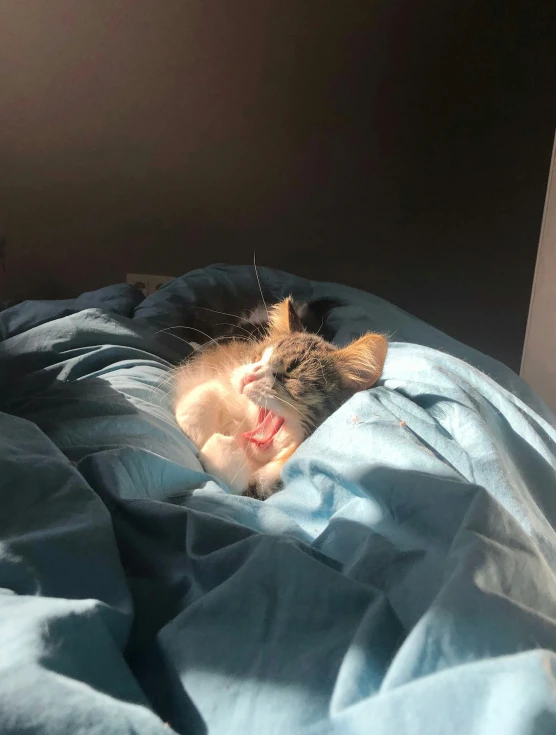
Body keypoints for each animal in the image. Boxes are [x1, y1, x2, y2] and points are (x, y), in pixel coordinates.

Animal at [174, 296, 386, 498]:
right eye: (258, 358)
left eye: (289, 375)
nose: (248, 377)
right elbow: (200, 399)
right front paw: (198, 431)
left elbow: (231, 475)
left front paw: (218, 442)